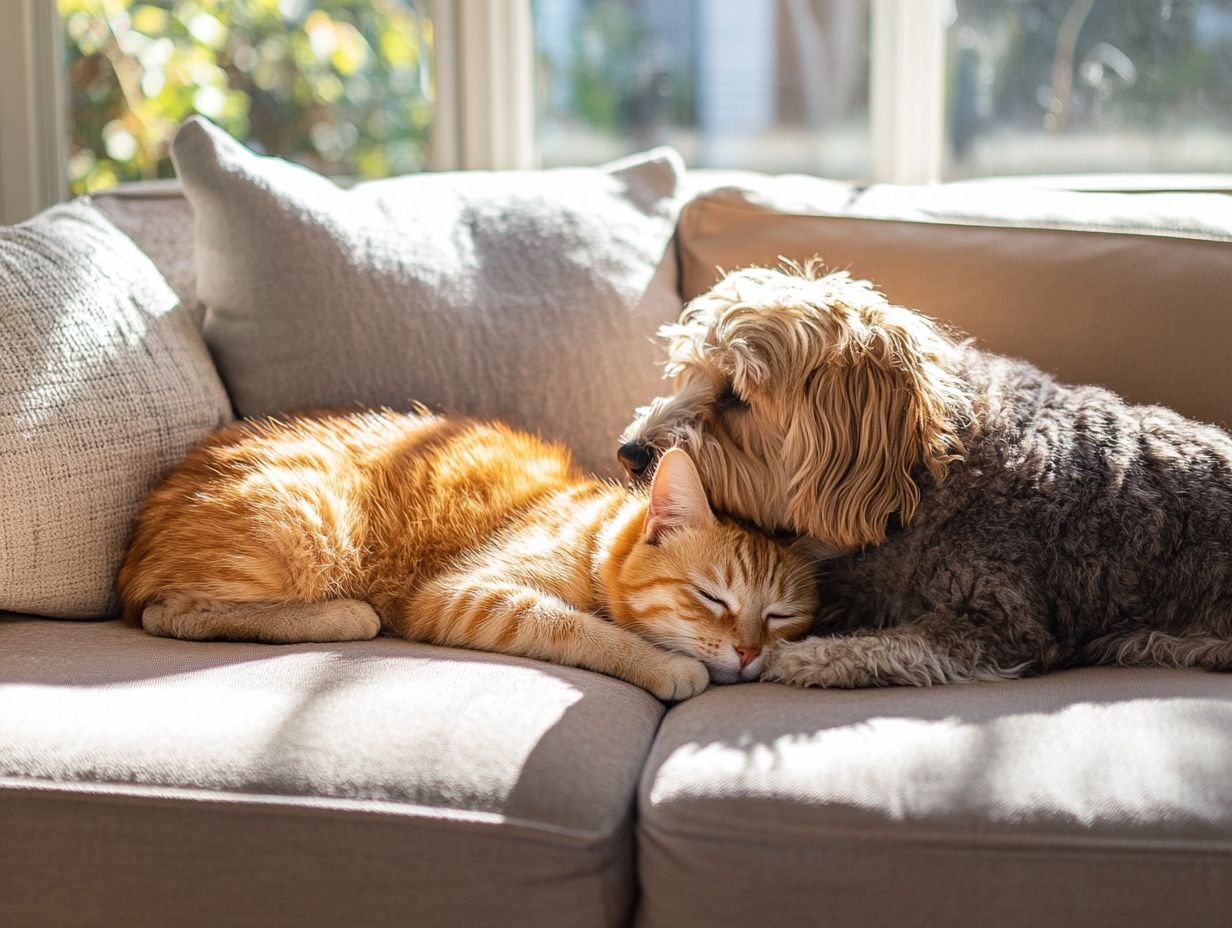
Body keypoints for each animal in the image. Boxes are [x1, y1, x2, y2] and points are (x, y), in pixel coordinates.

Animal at [115, 409, 818, 700]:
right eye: (711, 597)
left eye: (780, 617)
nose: (748, 652)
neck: (595, 537)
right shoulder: (465, 596)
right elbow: (581, 628)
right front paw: (664, 664)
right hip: (305, 527)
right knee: (171, 613)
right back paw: (345, 613)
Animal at [620, 263, 1232, 685]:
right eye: (687, 374)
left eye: (736, 396)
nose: (629, 453)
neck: (921, 480)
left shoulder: (1004, 622)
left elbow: (888, 645)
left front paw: (808, 655)